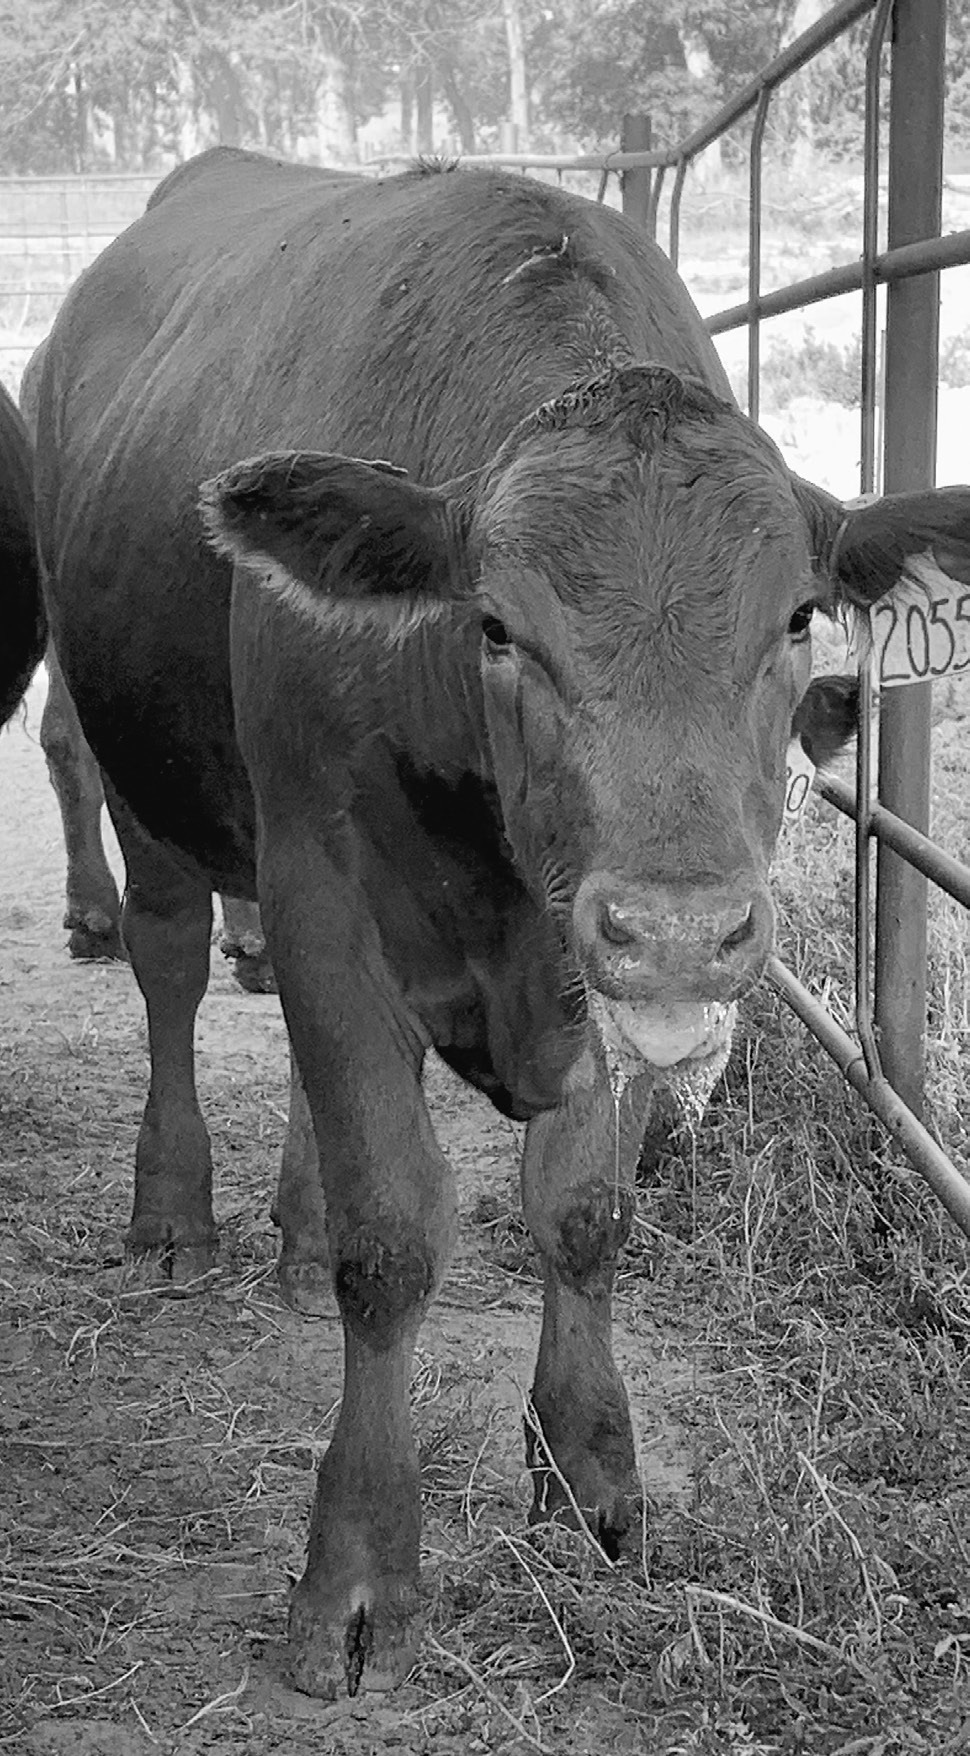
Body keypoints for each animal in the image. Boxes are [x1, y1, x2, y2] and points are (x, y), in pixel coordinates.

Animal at [33, 147, 970, 1699]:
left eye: (794, 619)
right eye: (493, 626)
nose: (679, 926)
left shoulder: (585, 981)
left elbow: (583, 1212)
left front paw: (591, 1477)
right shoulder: (322, 895)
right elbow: (391, 1237)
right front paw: (357, 1572)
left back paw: (284, 1225)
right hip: (138, 763)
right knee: (169, 961)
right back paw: (174, 1210)